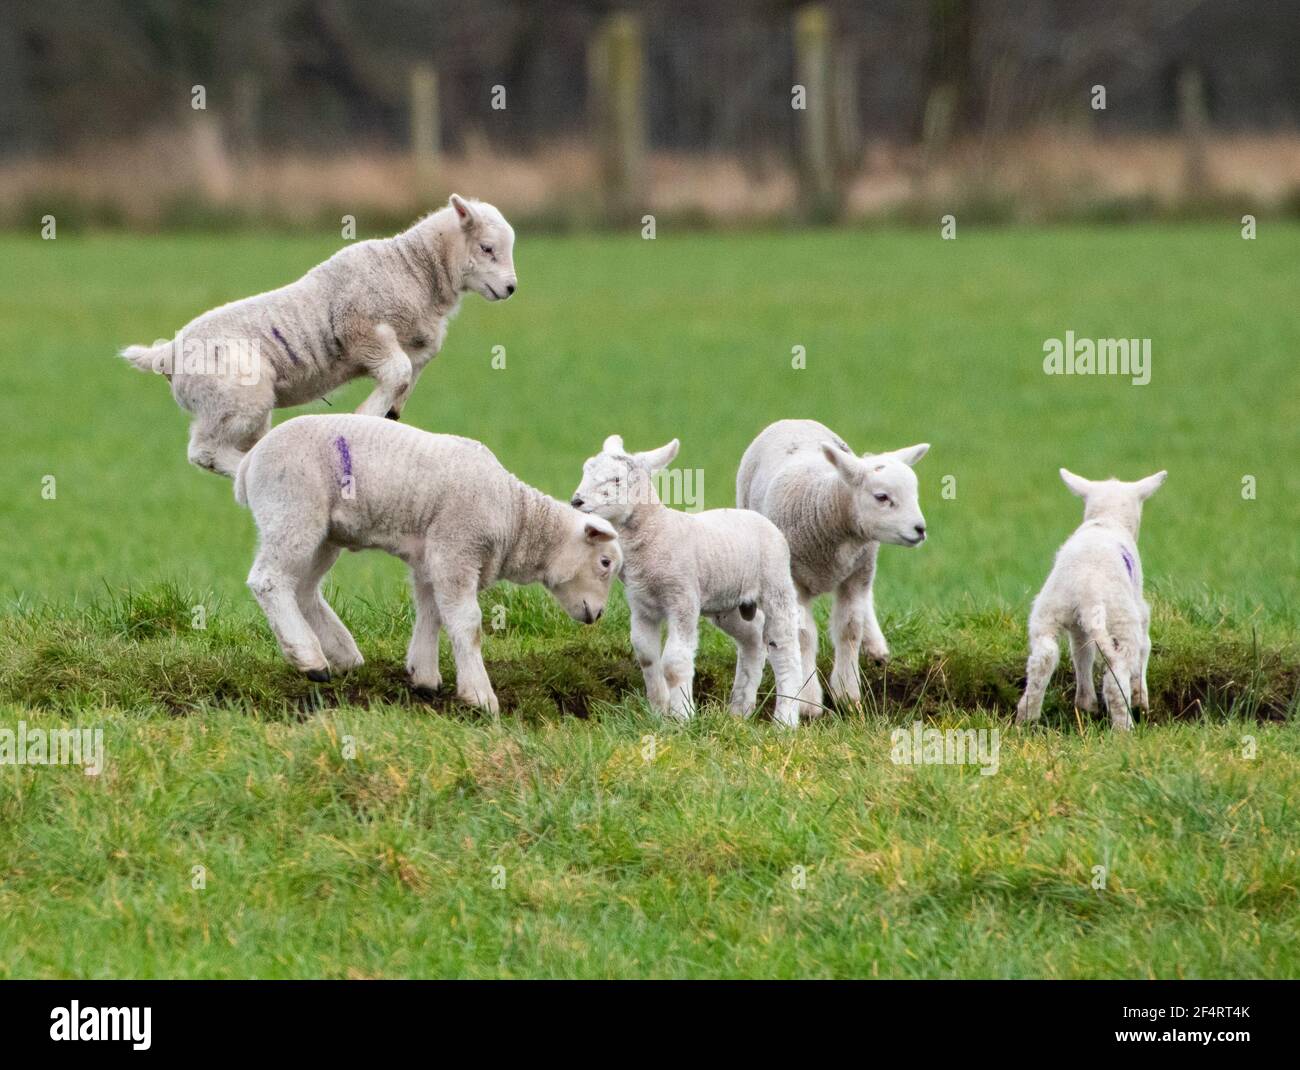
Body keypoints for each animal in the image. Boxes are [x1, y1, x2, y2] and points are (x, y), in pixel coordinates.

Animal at [120, 195, 517, 478]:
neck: (414, 269)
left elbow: (409, 373)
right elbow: (398, 370)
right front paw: (367, 415)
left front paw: (392, 411)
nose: (511, 288)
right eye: (486, 248)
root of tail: (167, 353)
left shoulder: (418, 343)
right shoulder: (360, 331)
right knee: (204, 452)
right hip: (237, 398)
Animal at [233, 413, 618, 717]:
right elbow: (467, 623)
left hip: (325, 534)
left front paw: (425, 677)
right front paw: (480, 696)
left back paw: (342, 654)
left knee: (304, 589)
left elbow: (431, 612)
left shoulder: (433, 558)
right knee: (269, 581)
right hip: (292, 509)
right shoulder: (456, 548)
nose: (597, 615)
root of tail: (249, 461)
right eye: (605, 562)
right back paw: (309, 658)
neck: (515, 516)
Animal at [572, 434, 811, 728]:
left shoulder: (682, 598)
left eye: (616, 479)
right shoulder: (641, 606)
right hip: (728, 603)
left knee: (785, 646)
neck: (656, 532)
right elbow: (647, 656)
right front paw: (659, 712)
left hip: (776, 583)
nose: (576, 501)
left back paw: (785, 720)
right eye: (586, 469)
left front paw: (683, 717)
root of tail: (758, 518)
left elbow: (674, 662)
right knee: (753, 639)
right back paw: (740, 710)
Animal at [738, 418, 930, 712]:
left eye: (915, 494)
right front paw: (807, 700)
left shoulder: (857, 574)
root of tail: (791, 420)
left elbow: (850, 628)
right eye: (882, 497)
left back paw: (876, 646)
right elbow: (804, 634)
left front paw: (847, 693)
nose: (920, 529)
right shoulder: (794, 580)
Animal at [1013, 465, 1170, 728]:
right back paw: (1124, 727)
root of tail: (1088, 592)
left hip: (1049, 610)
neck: (1107, 520)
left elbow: (1081, 653)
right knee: (1116, 676)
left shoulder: (1078, 627)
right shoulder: (1141, 609)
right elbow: (1146, 647)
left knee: (1044, 659)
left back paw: (1028, 718)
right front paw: (1141, 700)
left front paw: (1086, 704)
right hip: (1121, 617)